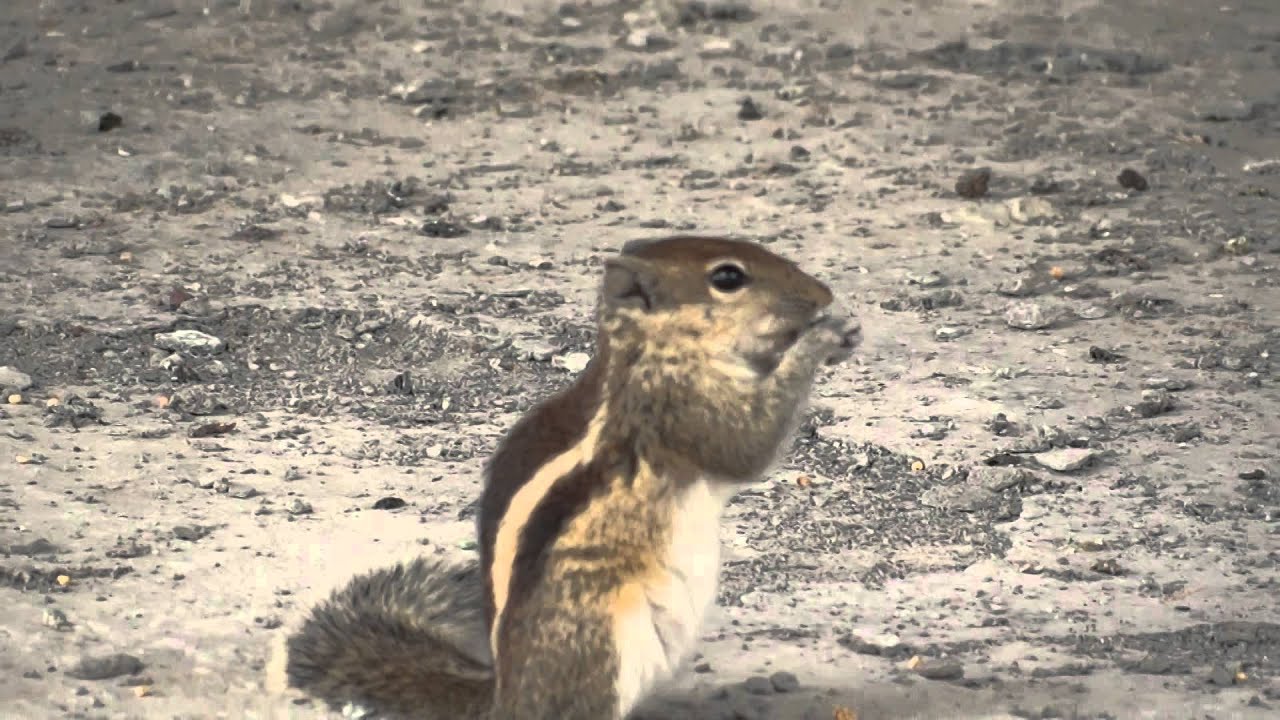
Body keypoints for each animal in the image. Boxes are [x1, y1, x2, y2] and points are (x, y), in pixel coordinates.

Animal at [270, 235, 861, 719]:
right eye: (729, 278)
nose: (823, 293)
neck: (649, 349)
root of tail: (506, 698)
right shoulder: (679, 407)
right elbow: (745, 446)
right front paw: (823, 336)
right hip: (599, 639)